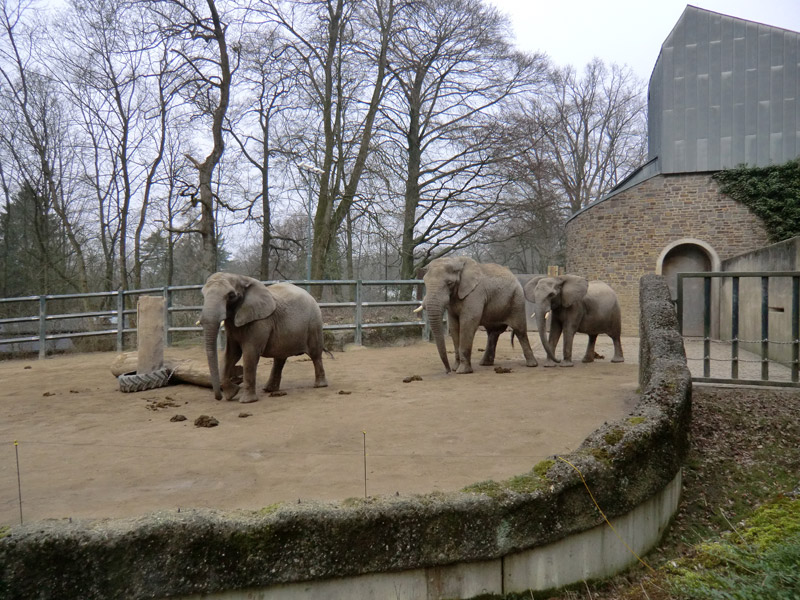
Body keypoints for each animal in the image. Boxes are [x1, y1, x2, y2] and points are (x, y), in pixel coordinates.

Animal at [200, 272, 328, 404]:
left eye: (231, 295)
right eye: (203, 294)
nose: (219, 397)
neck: (242, 279)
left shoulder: (260, 321)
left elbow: (250, 354)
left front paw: (246, 401)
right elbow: (231, 354)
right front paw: (232, 394)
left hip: (314, 323)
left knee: (315, 354)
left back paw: (320, 385)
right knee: (280, 358)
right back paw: (269, 389)